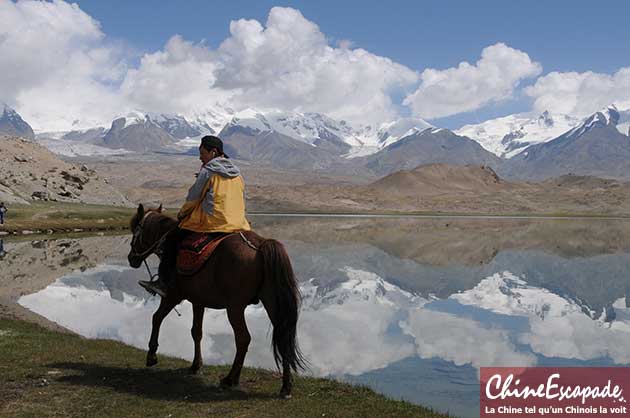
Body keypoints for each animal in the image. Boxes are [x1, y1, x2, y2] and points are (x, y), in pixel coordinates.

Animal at [126, 205, 306, 398]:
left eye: (135, 230)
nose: (131, 259)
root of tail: (261, 245)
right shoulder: (198, 301)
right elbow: (196, 332)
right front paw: (196, 365)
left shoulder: (172, 295)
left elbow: (156, 317)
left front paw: (151, 355)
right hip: (272, 303)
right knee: (282, 337)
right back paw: (285, 387)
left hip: (235, 308)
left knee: (243, 339)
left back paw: (230, 379)